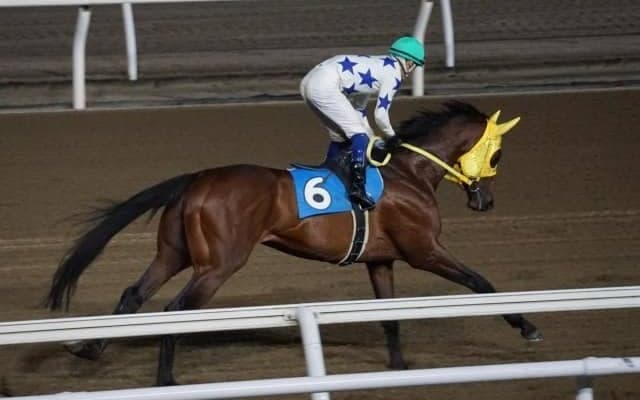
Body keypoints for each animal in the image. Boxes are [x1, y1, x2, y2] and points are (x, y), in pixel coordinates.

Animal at [46, 101, 542, 386]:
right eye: (498, 154)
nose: (486, 201)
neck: (410, 174)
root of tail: (197, 180)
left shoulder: (381, 261)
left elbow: (389, 317)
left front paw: (399, 369)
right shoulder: (424, 250)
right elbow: (481, 284)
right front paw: (528, 326)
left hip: (174, 253)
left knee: (134, 293)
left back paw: (90, 348)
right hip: (219, 264)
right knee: (174, 310)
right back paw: (165, 379)